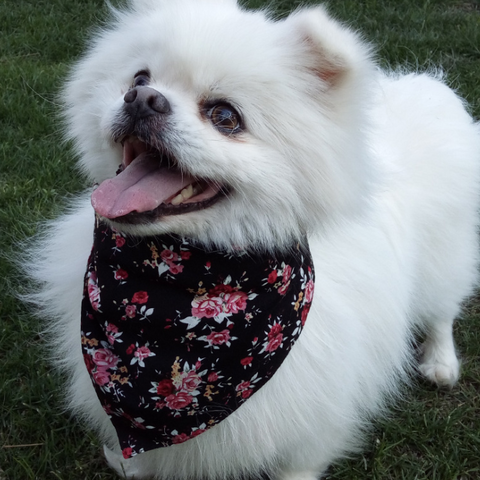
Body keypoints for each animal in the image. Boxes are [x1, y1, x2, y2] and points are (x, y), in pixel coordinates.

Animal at [30, 0, 480, 480]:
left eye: (226, 117)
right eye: (138, 78)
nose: (143, 99)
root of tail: (425, 85)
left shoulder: (319, 411)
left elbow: (299, 461)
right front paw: (131, 466)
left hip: (444, 260)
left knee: (441, 311)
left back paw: (440, 362)